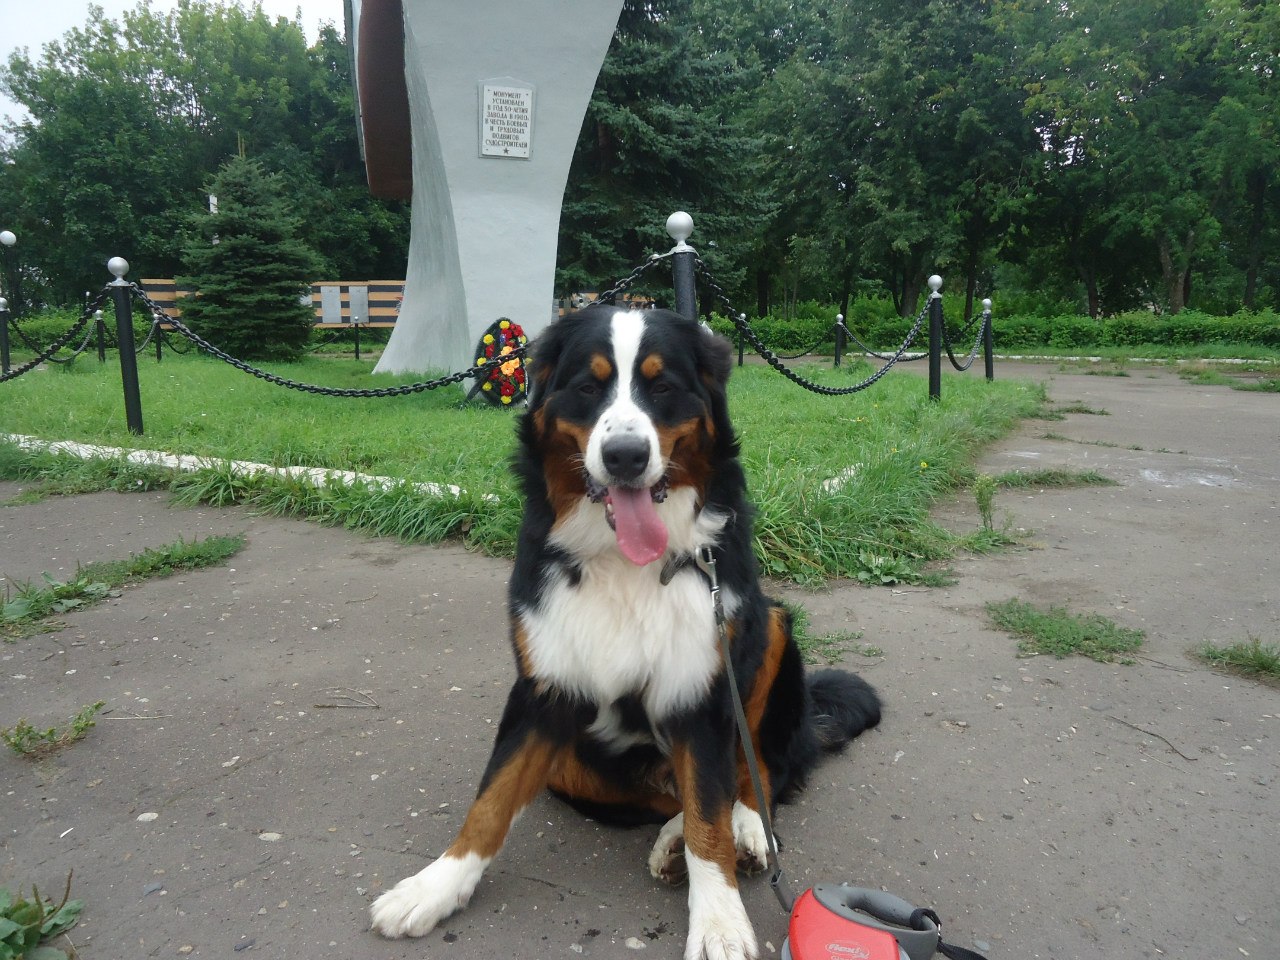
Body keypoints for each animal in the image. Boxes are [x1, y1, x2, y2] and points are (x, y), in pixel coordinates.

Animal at [369, 307, 881, 959]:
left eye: (661, 388)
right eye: (589, 387)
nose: (625, 456)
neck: (624, 562)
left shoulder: (701, 689)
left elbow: (711, 815)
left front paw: (719, 922)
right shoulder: (544, 689)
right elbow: (491, 799)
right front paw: (433, 886)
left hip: (770, 625)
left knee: (758, 771)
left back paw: (742, 827)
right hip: (573, 765)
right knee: (670, 794)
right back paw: (670, 838)